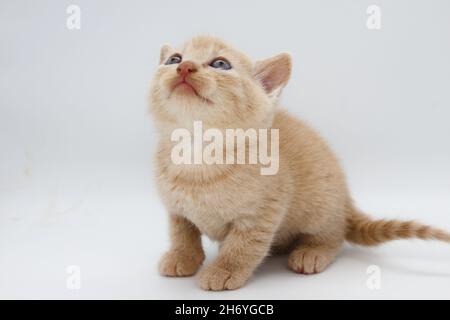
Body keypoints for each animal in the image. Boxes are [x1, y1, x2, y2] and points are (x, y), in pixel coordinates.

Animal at [150, 35, 450, 290]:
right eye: (174, 59)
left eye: (220, 64)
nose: (185, 67)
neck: (196, 151)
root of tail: (346, 201)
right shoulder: (176, 210)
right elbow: (182, 234)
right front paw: (182, 257)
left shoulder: (263, 214)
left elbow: (244, 246)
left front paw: (225, 269)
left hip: (321, 209)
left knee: (334, 235)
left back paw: (312, 252)